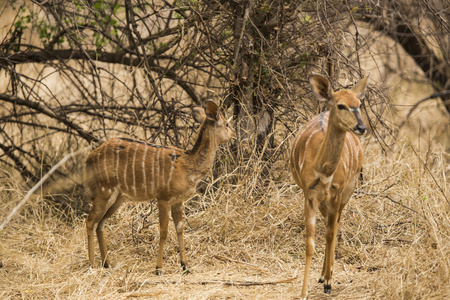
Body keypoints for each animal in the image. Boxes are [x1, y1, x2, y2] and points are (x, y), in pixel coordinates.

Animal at [83, 99, 236, 274]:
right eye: (226, 123)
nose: (234, 135)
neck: (188, 166)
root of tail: (88, 158)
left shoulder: (178, 200)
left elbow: (180, 228)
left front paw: (185, 266)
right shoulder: (163, 197)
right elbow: (163, 231)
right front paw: (159, 268)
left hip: (118, 197)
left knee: (100, 223)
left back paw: (107, 264)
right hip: (105, 190)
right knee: (90, 221)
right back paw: (91, 264)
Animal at [290, 74, 368, 298]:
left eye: (359, 104)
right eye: (341, 105)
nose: (361, 128)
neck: (323, 169)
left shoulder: (336, 193)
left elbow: (331, 234)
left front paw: (328, 282)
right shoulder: (309, 195)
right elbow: (310, 244)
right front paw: (303, 293)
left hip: (348, 192)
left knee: (335, 226)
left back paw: (327, 275)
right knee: (329, 226)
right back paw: (323, 275)